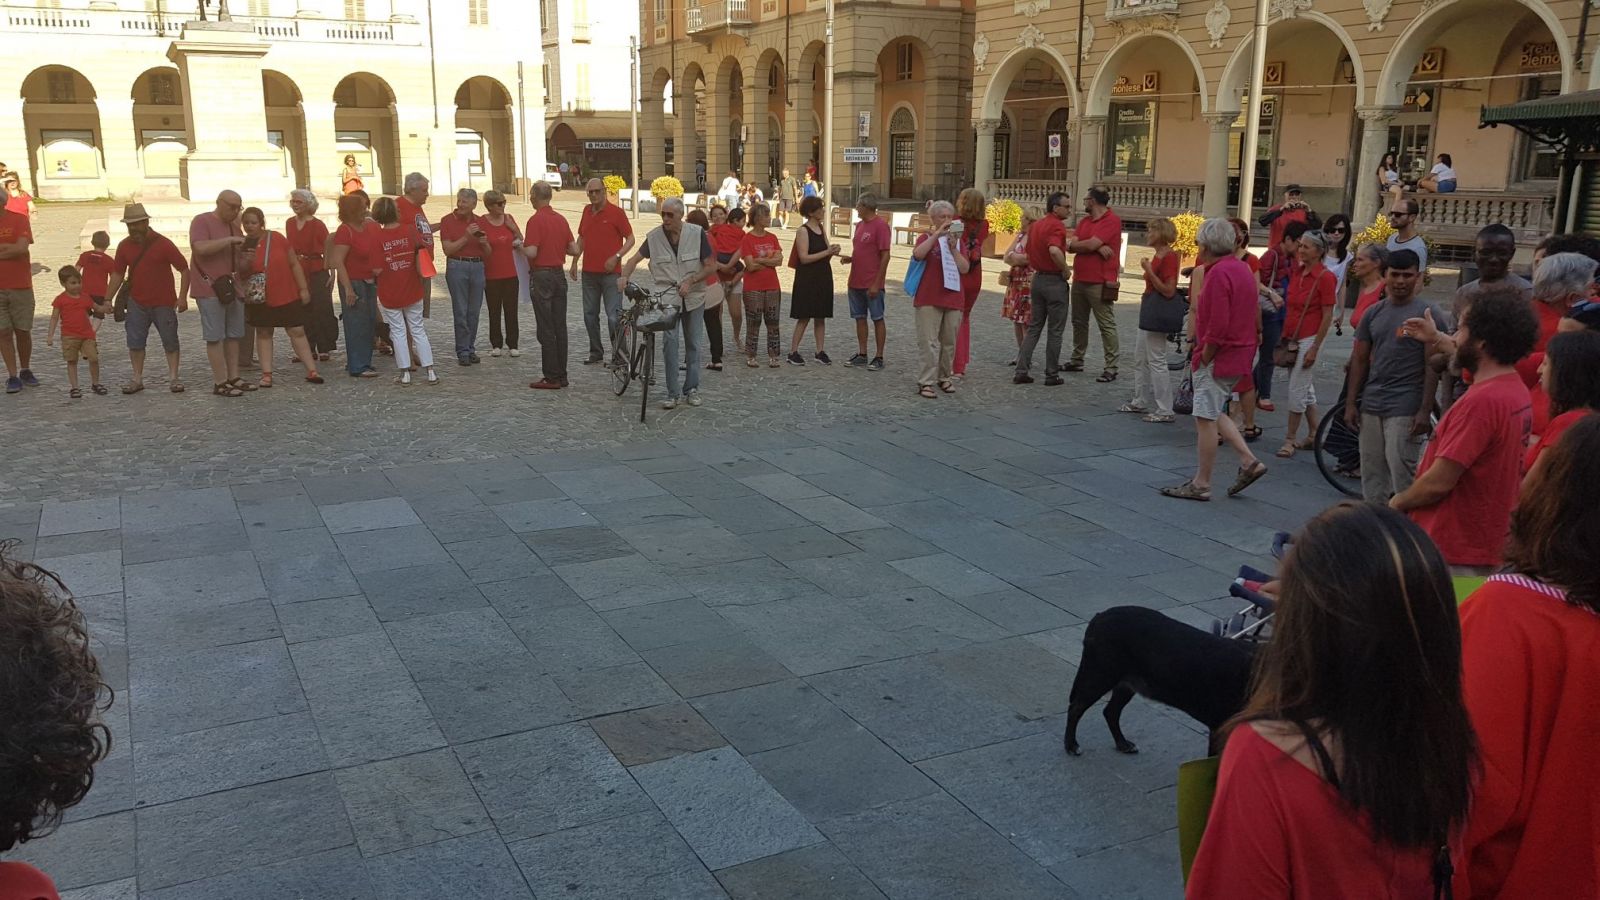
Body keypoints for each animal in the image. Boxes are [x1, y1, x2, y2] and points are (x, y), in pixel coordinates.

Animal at [1064, 606, 1258, 756]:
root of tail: (1099, 616)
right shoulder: (1219, 727)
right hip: (1100, 676)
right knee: (1076, 708)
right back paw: (1071, 745)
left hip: (1126, 683)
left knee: (1110, 712)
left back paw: (1123, 744)